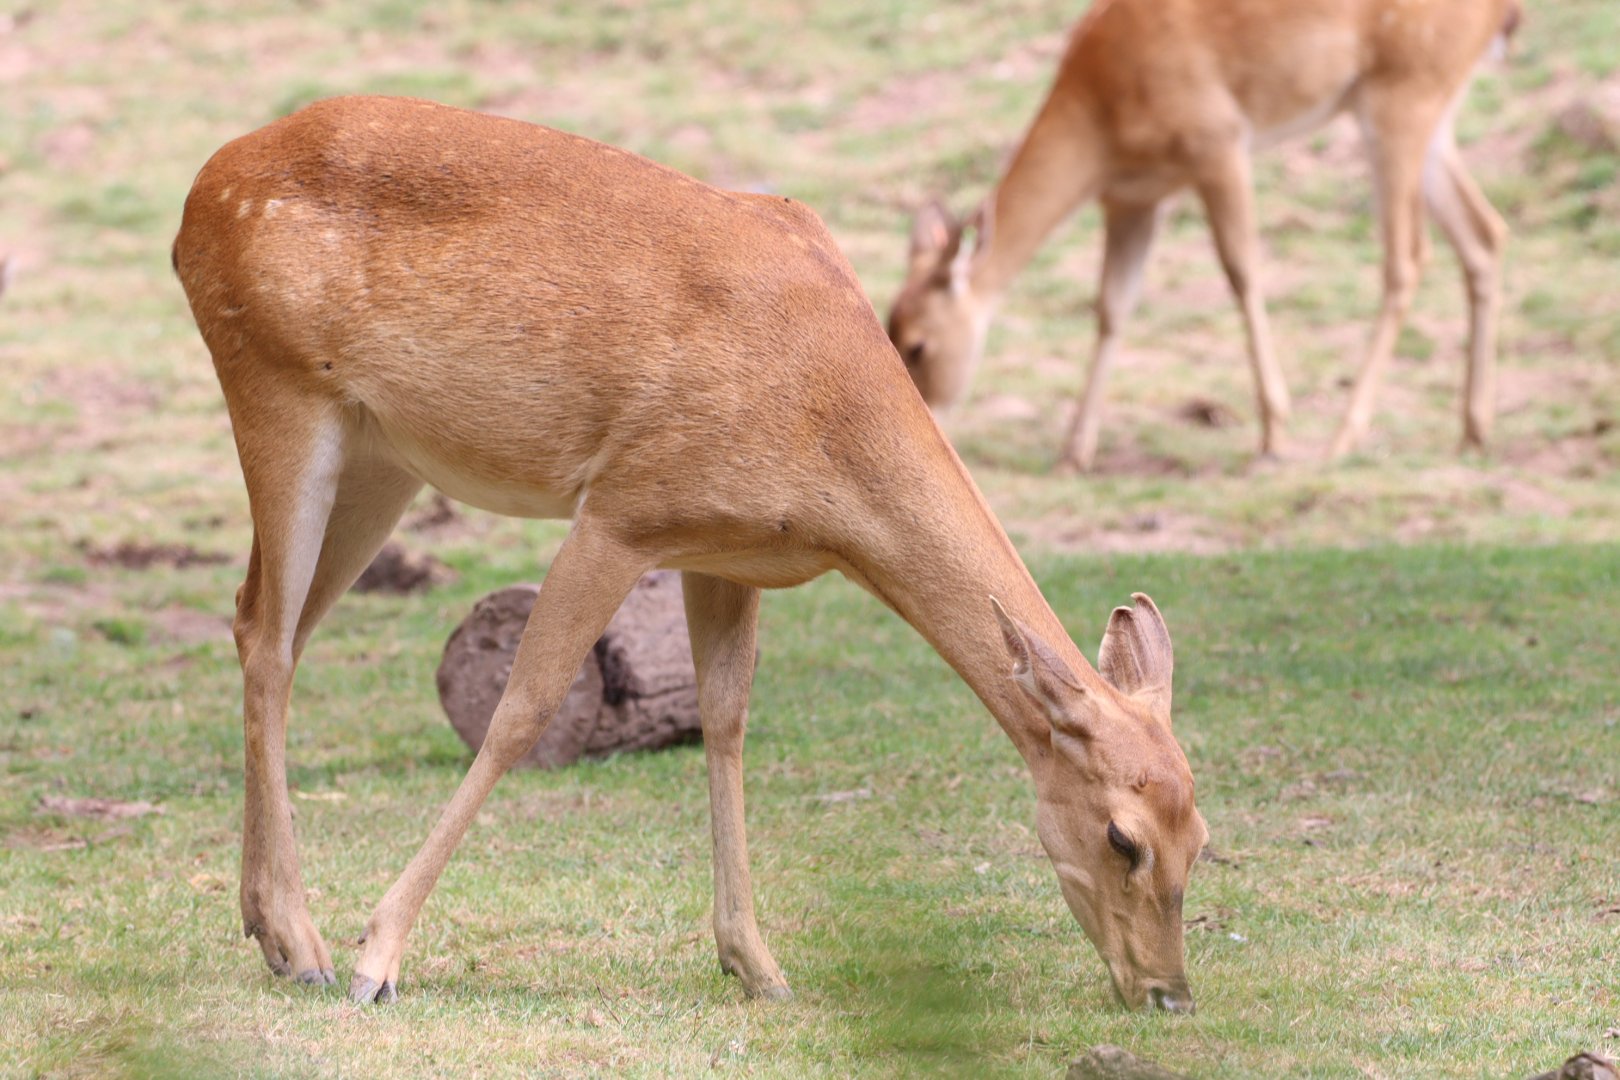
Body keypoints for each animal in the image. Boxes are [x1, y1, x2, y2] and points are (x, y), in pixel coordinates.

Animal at [172, 96, 1209, 1014]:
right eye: (1122, 838)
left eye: (1201, 832)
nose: (1168, 994)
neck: (827, 428)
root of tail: (197, 199)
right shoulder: (624, 507)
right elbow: (523, 709)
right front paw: (377, 958)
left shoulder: (730, 551)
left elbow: (727, 721)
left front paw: (758, 966)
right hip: (275, 384)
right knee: (267, 634)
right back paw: (307, 947)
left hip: (381, 455)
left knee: (265, 622)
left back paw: (270, 935)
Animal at [887, 0, 1519, 472]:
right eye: (889, 331)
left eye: (918, 344)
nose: (924, 421)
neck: (1100, 120)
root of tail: (1503, 13)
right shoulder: (1133, 199)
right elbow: (1112, 307)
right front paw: (1074, 451)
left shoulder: (1218, 140)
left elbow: (1243, 271)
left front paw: (1274, 431)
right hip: (1434, 110)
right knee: (1485, 231)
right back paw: (1473, 430)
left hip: (1400, 91)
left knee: (1407, 257)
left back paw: (1344, 435)